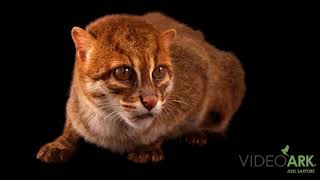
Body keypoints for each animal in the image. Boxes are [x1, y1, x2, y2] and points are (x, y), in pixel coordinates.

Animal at [37, 12, 245, 164]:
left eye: (159, 71)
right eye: (123, 72)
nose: (151, 101)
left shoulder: (199, 77)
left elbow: (171, 126)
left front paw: (150, 145)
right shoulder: (74, 100)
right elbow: (71, 124)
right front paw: (60, 143)